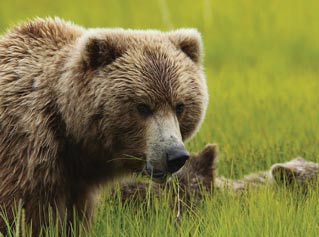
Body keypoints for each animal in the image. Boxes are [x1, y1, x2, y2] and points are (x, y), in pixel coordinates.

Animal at [0, 17, 209, 235]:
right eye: (143, 107)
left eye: (180, 106)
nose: (175, 155)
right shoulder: (27, 156)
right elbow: (28, 218)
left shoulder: (76, 182)